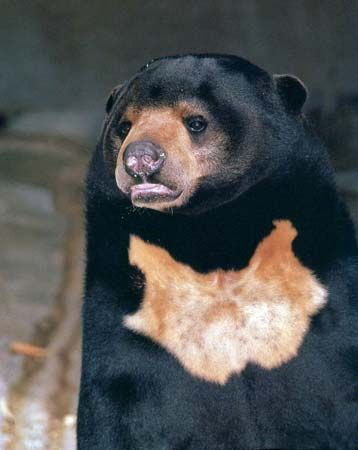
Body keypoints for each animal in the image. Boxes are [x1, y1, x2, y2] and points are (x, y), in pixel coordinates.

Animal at [78, 54, 358, 448]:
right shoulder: (128, 315)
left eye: (196, 122)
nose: (140, 159)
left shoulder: (317, 302)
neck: (213, 235)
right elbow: (113, 405)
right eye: (124, 126)